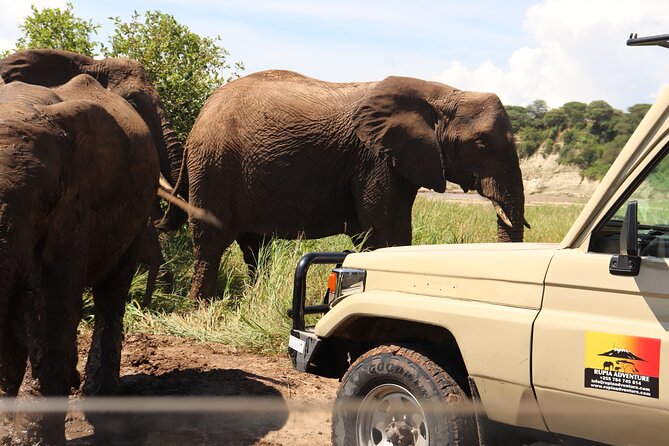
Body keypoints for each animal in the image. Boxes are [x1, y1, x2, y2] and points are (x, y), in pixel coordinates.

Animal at [0, 75, 159, 444]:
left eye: (47, 202)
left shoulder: (76, 200)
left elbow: (52, 299)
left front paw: (30, 440)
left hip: (136, 218)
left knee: (110, 293)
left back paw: (100, 401)